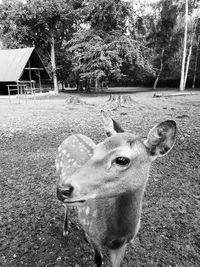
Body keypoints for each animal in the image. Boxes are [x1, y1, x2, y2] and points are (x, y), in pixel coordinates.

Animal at [55, 110, 176, 266]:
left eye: (121, 160)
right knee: (66, 207)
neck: (117, 234)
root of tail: (71, 136)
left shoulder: (122, 245)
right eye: (94, 151)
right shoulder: (96, 240)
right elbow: (98, 259)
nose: (62, 189)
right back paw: (65, 230)